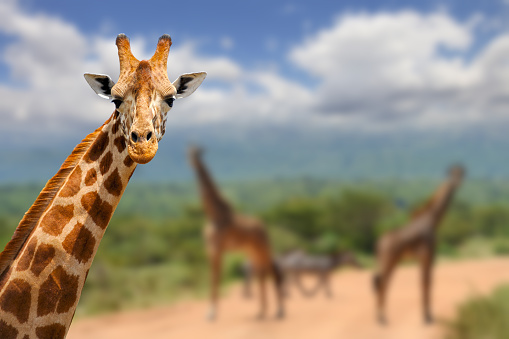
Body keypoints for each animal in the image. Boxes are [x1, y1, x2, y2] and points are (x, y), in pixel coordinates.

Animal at [187, 146, 284, 322]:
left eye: (197, 155)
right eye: (188, 153)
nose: (192, 163)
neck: (213, 214)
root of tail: (264, 227)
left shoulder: (217, 249)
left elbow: (215, 278)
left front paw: (211, 313)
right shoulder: (210, 250)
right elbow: (213, 278)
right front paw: (211, 312)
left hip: (263, 249)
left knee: (273, 272)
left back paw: (279, 312)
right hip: (252, 252)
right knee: (261, 275)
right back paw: (261, 313)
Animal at [372, 166, 462, 326]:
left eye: (461, 173)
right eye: (452, 174)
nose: (457, 183)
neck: (432, 220)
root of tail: (379, 243)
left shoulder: (427, 257)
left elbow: (427, 283)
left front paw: (428, 316)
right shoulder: (428, 254)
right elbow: (426, 283)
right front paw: (427, 318)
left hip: (388, 261)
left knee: (379, 282)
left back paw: (380, 317)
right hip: (388, 261)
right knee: (382, 283)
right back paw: (382, 319)